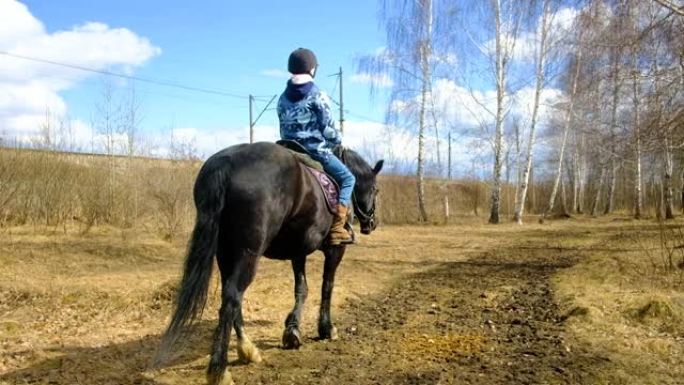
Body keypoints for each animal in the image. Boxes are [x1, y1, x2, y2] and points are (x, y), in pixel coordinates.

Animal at [158, 142, 382, 384]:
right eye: (375, 189)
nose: (373, 223)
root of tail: (226, 163)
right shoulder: (335, 249)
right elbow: (327, 287)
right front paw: (326, 329)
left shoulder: (298, 251)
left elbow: (301, 288)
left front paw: (292, 331)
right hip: (248, 253)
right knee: (232, 297)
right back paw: (219, 370)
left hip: (226, 252)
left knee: (230, 295)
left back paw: (247, 350)